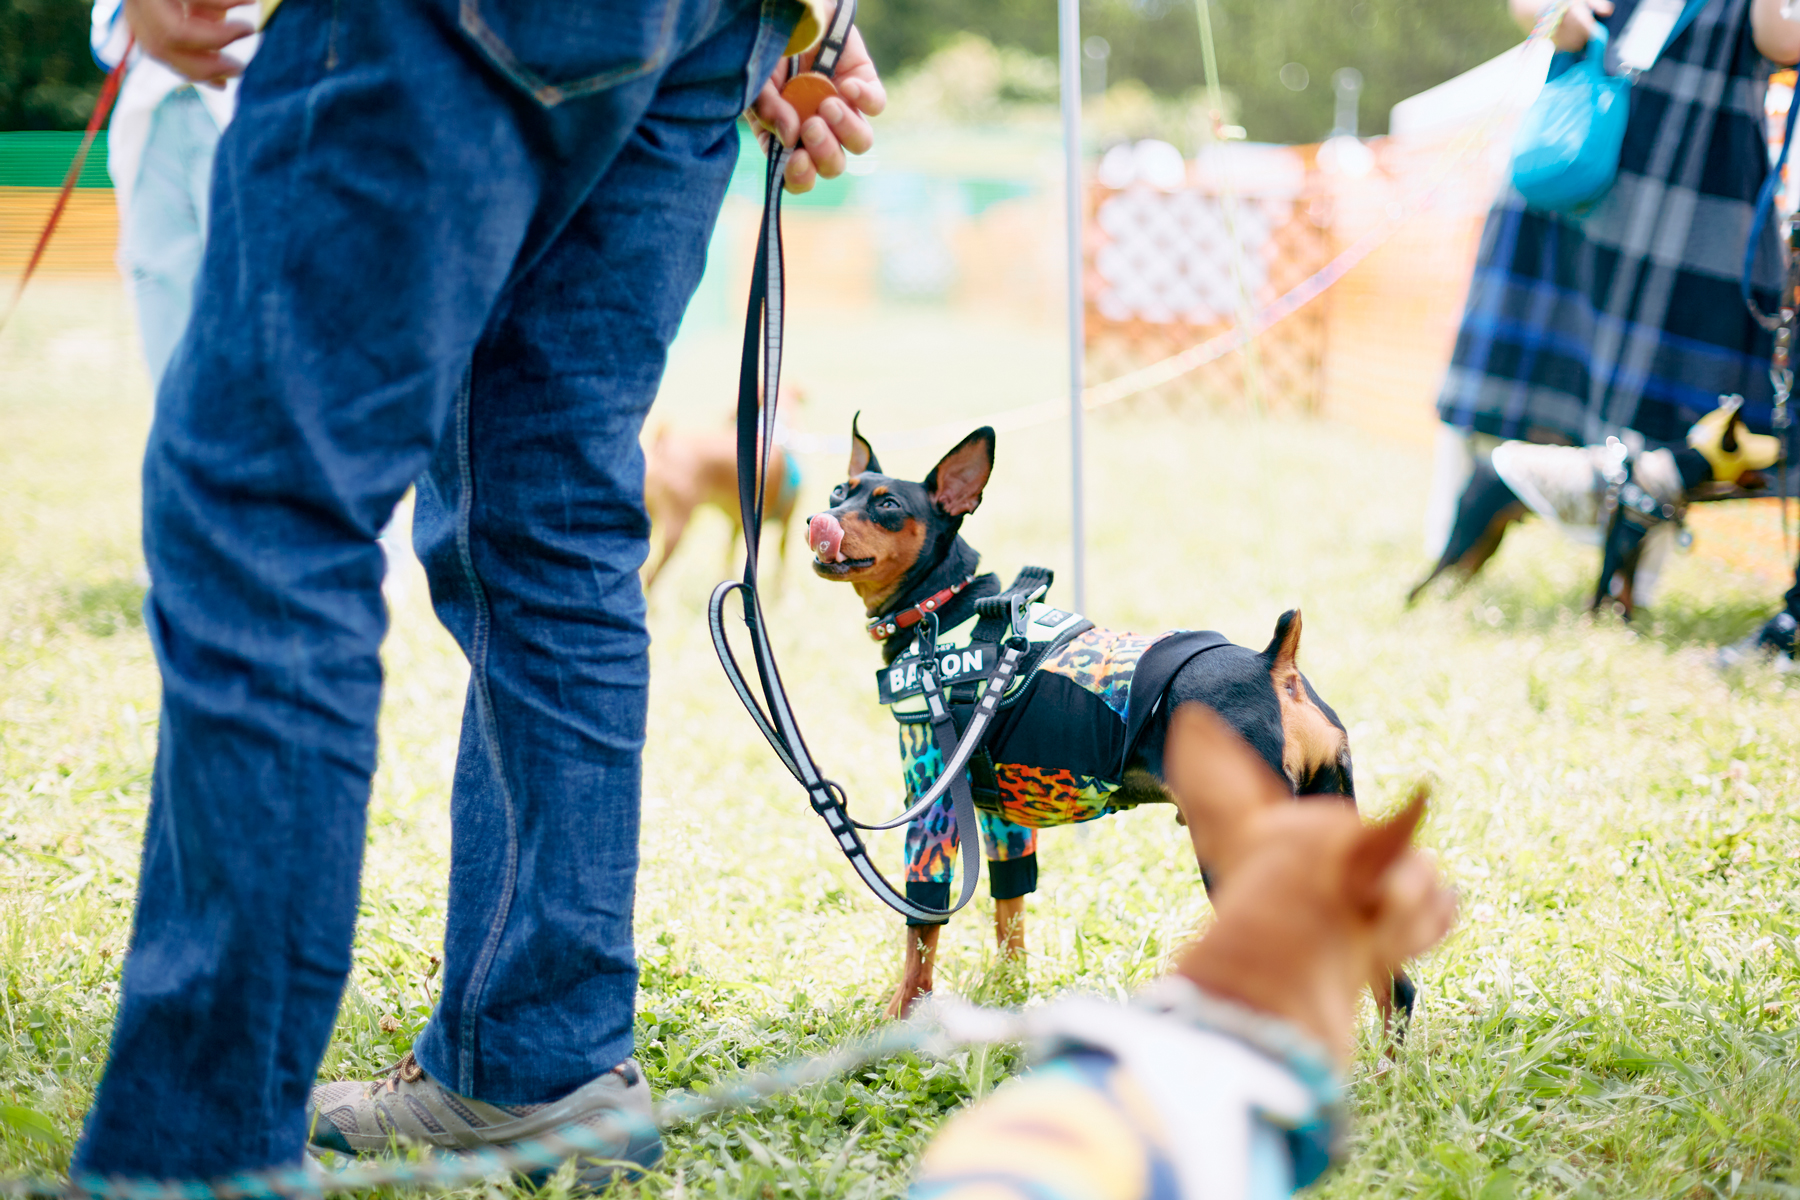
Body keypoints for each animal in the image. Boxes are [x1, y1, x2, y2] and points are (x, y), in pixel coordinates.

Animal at [907, 705, 1454, 1200]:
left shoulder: (933, 788)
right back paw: (1383, 1080)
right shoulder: (996, 814)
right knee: (1395, 987)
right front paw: (1009, 983)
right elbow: (1009, 910)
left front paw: (904, 1016)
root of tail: (1275, 672)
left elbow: (921, 932)